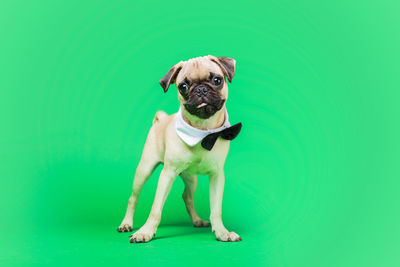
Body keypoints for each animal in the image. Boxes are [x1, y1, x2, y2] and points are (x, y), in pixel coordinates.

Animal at [117, 55, 242, 243]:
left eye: (217, 80)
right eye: (183, 86)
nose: (201, 89)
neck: (202, 132)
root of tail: (161, 120)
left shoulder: (217, 175)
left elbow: (216, 209)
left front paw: (222, 232)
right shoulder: (167, 175)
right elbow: (155, 209)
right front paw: (145, 232)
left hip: (191, 178)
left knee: (187, 197)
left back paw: (197, 220)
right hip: (144, 169)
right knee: (133, 197)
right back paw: (126, 224)